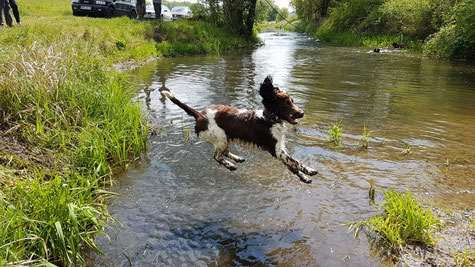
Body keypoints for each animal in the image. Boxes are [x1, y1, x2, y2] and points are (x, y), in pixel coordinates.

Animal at [164, 76, 320, 183]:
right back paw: (230, 165)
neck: (269, 119)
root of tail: (199, 115)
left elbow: (292, 165)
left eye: (292, 101)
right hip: (220, 137)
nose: (302, 113)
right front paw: (310, 170)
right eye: (287, 103)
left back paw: (237, 158)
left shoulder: (279, 148)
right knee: (216, 156)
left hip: (225, 137)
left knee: (224, 152)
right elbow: (295, 162)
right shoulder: (276, 149)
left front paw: (304, 177)